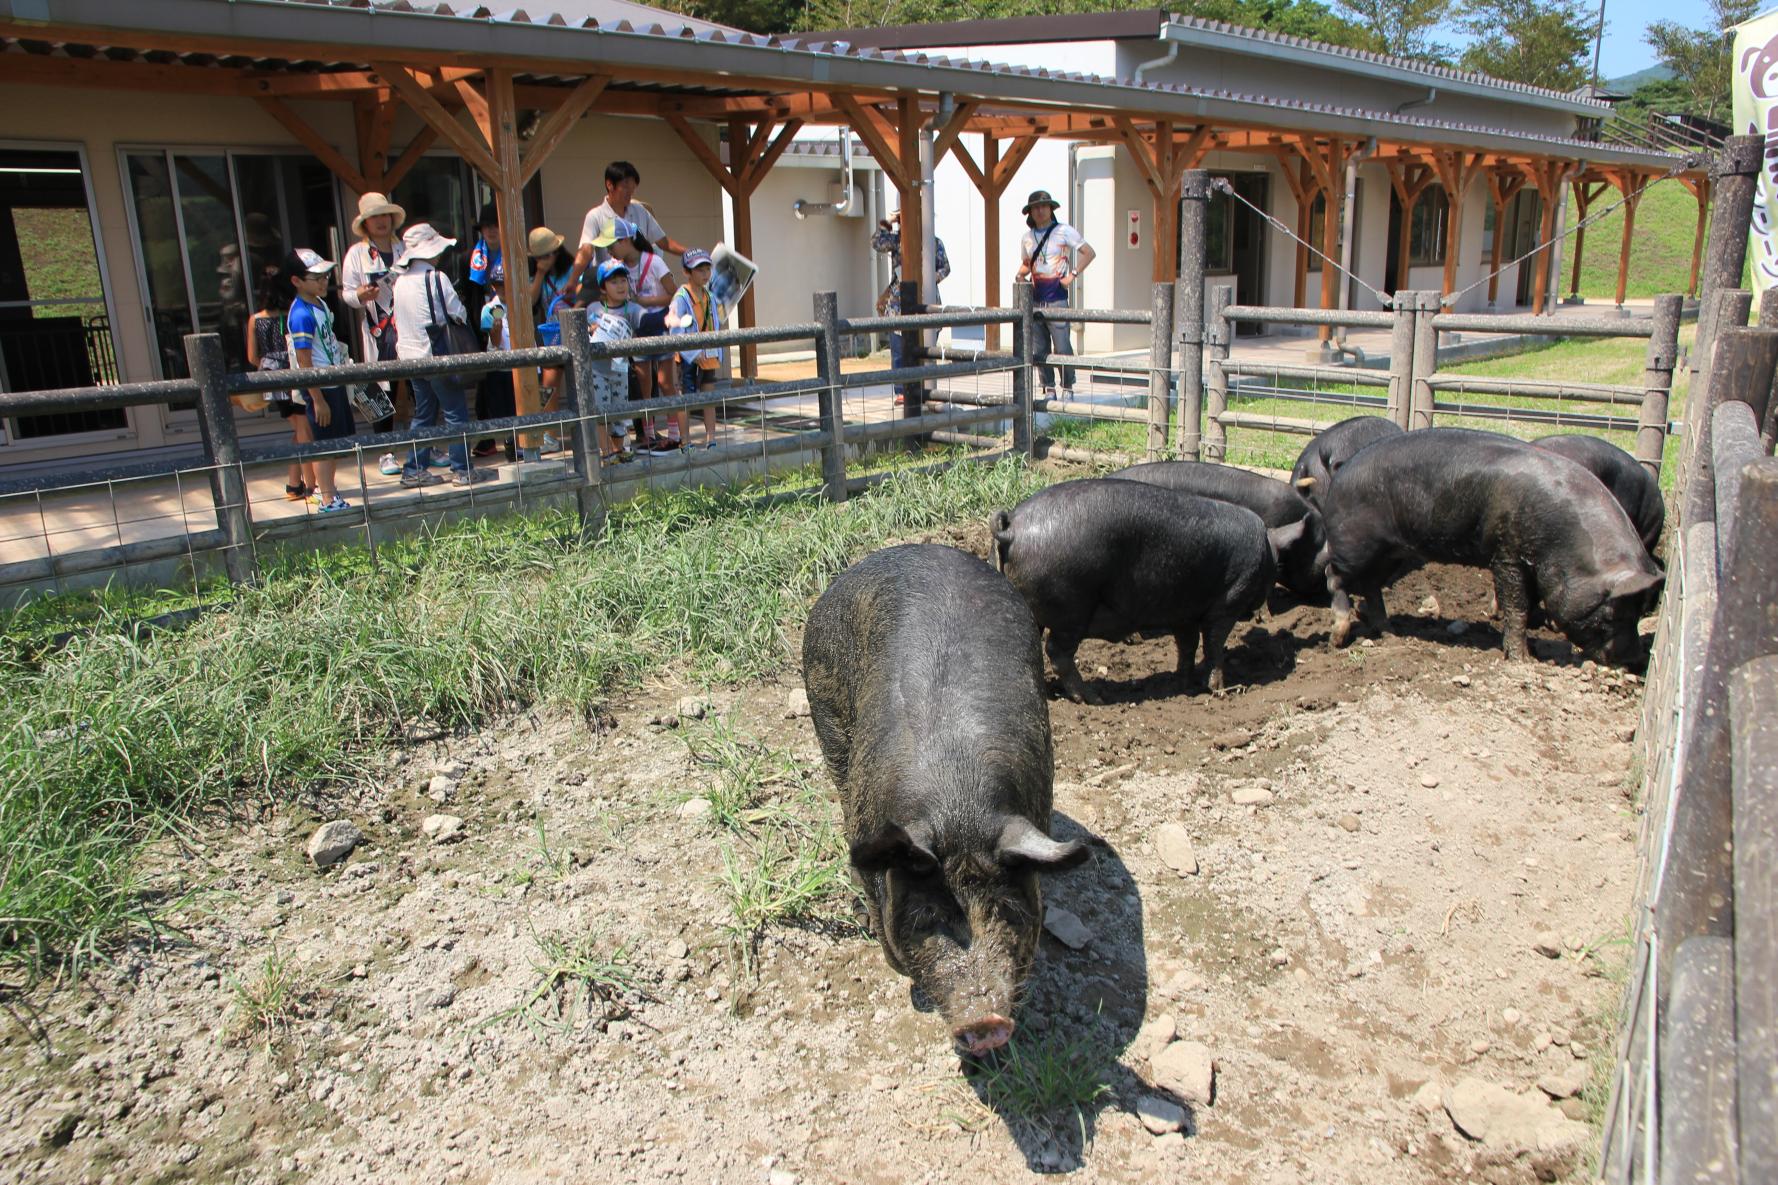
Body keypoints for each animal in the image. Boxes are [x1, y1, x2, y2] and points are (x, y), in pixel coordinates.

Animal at [988, 480, 1280, 701]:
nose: (1260, 614)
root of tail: (1011, 527)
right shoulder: (1228, 601)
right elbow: (1214, 644)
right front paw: (1225, 690)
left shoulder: (1182, 611)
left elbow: (1187, 645)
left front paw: (1182, 684)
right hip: (1071, 608)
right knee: (1058, 653)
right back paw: (1093, 698)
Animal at [1308, 427, 1664, 665]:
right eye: (1614, 612)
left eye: (1640, 612)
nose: (1635, 659)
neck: (1566, 547)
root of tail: (1341, 472)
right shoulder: (1508, 552)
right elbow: (1517, 605)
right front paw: (1523, 660)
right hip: (1355, 544)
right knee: (1334, 575)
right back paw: (1338, 638)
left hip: (1392, 552)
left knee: (1371, 585)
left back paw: (1390, 630)